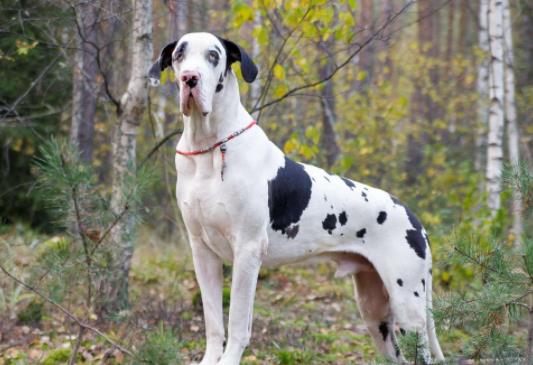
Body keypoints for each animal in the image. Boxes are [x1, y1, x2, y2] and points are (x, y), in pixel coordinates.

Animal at [148, 32, 442, 362]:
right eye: (179, 56)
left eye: (213, 55)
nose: (190, 78)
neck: (209, 148)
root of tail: (415, 220)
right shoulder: (202, 251)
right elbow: (213, 323)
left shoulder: (247, 251)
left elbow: (237, 324)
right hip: (374, 312)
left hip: (408, 308)